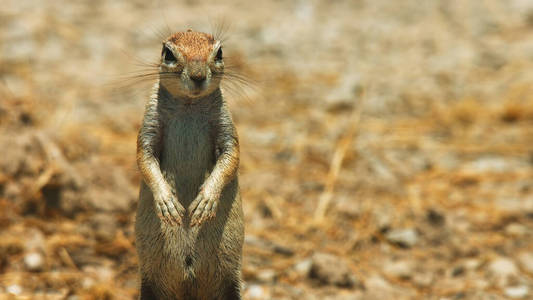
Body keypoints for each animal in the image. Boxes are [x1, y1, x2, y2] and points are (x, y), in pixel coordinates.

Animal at [135, 28, 243, 300]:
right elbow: (144, 158)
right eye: (168, 54)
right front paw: (167, 202)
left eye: (219, 52)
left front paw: (205, 201)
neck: (189, 104)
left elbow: (231, 156)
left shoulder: (226, 124)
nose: (197, 76)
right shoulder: (149, 122)